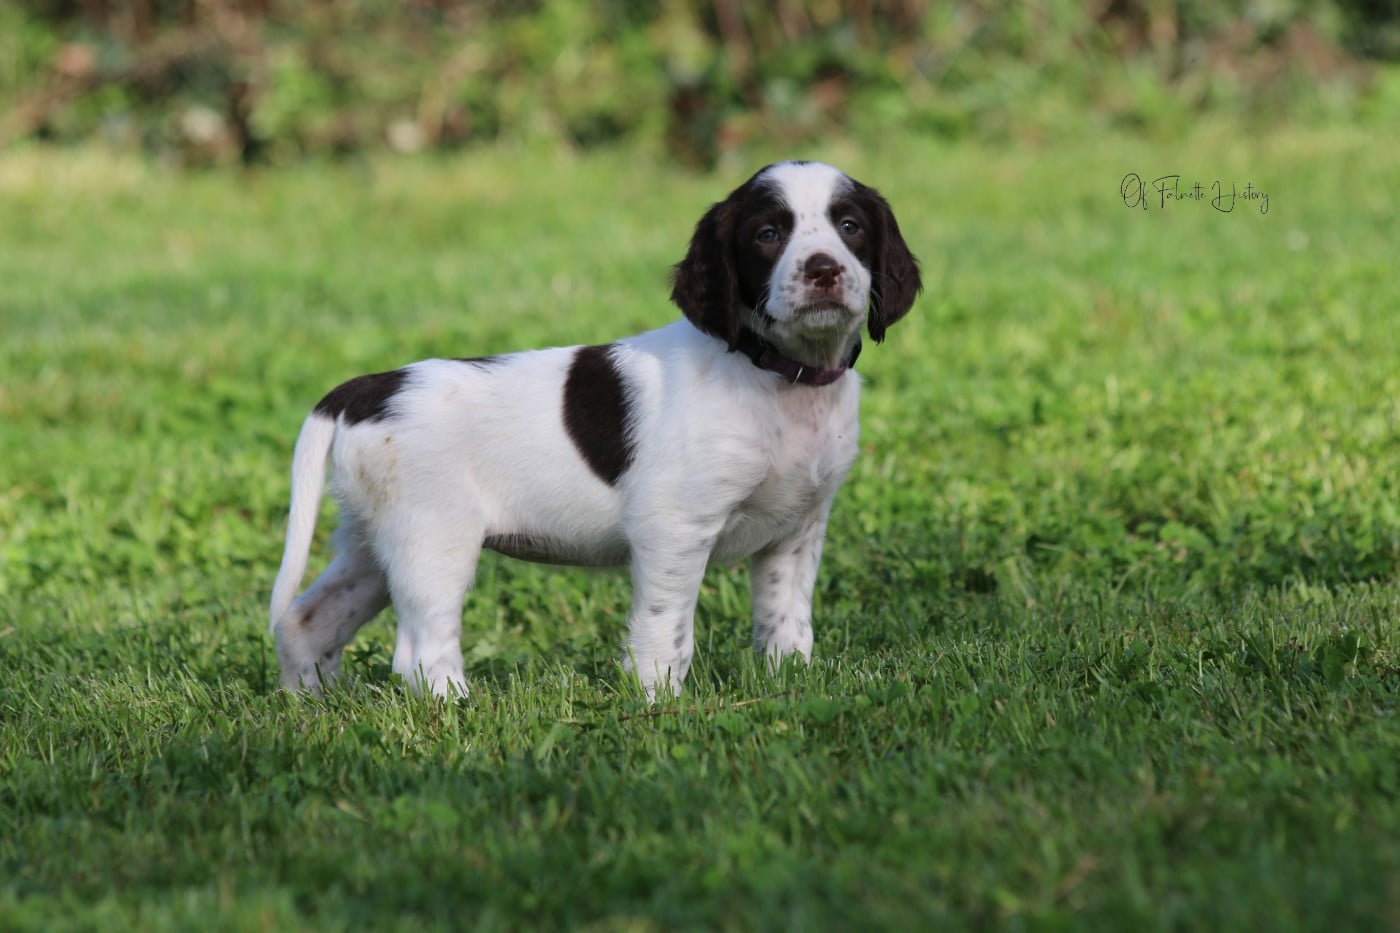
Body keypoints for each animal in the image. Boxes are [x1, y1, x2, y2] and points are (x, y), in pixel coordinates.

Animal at [269, 160, 921, 699]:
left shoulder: (796, 530)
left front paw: (792, 687)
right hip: (432, 540)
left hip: (373, 543)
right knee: (420, 654)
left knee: (306, 620)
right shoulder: (673, 529)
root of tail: (366, 388)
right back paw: (462, 716)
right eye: (767, 235)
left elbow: (787, 626)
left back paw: (311, 708)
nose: (824, 270)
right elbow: (666, 633)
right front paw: (661, 705)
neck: (779, 377)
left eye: (850, 226)